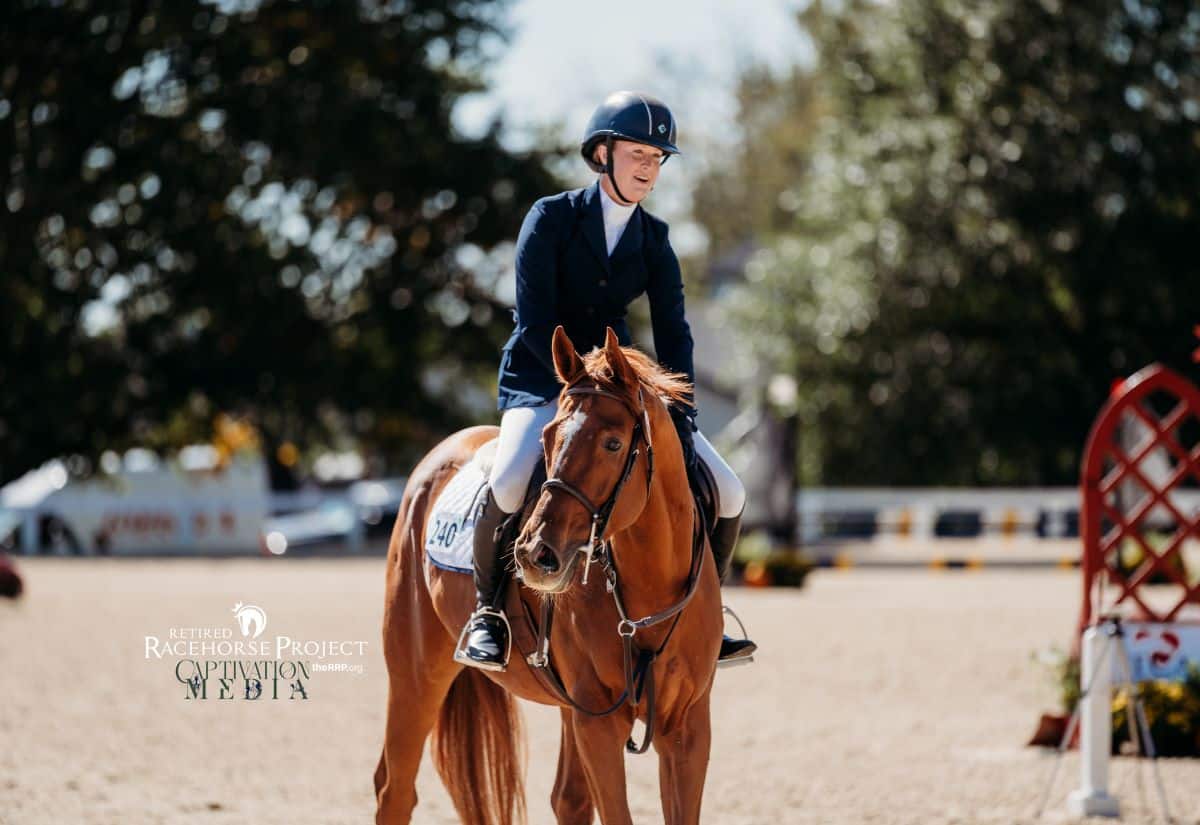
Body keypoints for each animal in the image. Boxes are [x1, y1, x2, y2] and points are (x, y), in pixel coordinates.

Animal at [376, 326, 720, 820]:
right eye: (549, 436)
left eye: (613, 443)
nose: (536, 554)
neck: (648, 593)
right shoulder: (598, 723)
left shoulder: (688, 728)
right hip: (415, 675)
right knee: (395, 789)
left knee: (568, 799)